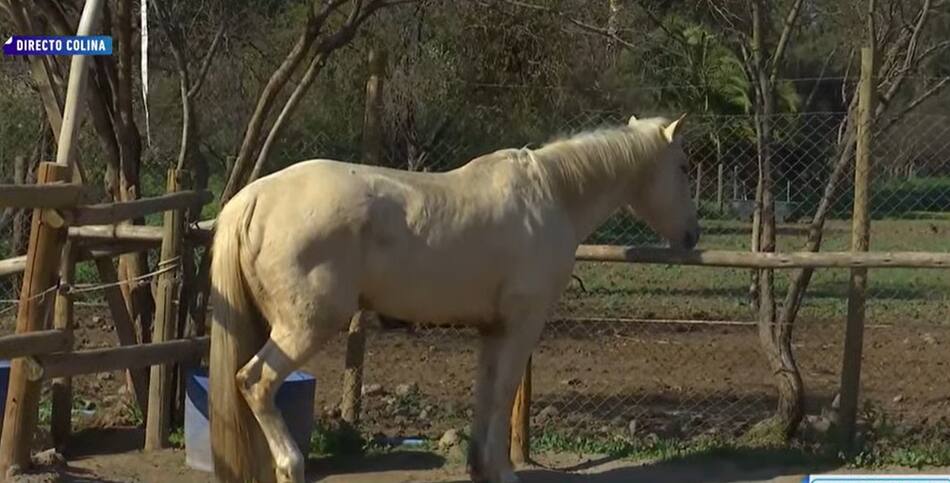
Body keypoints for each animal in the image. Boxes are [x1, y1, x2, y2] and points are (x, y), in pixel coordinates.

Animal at [208, 114, 700, 483]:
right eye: (682, 166)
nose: (693, 236)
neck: (552, 195)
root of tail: (252, 199)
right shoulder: (522, 326)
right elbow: (503, 393)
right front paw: (503, 472)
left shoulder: (492, 329)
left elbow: (486, 393)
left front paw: (481, 467)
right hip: (305, 327)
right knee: (256, 383)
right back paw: (291, 465)